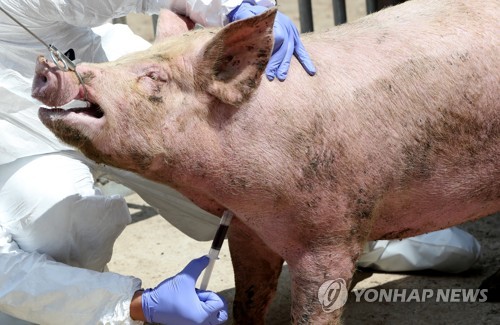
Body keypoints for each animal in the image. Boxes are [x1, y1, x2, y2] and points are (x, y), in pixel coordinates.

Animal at [33, 0, 498, 322]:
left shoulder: (331, 232)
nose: (48, 66)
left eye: (154, 77)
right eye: (126, 59)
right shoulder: (245, 229)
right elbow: (248, 299)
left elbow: (315, 306)